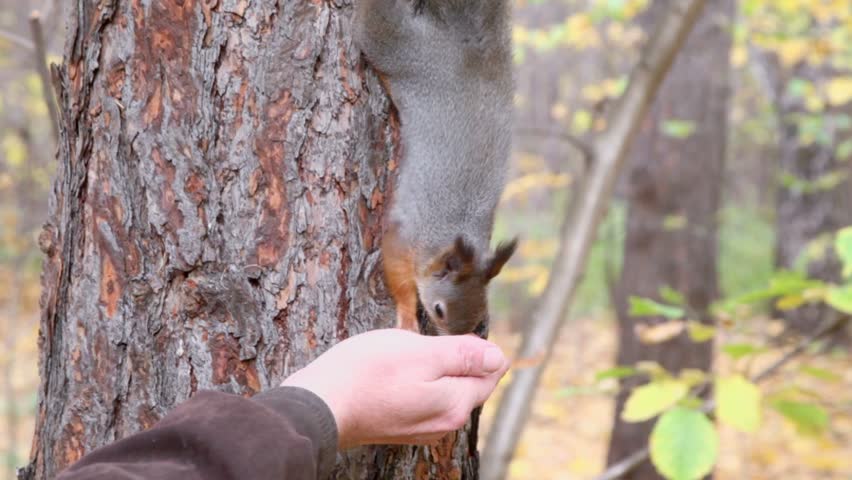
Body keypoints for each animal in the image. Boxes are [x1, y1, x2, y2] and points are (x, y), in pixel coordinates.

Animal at [353, 0, 517, 335]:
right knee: (373, 22)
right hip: (398, 49)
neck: (454, 232)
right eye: (440, 310)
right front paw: (407, 316)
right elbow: (398, 277)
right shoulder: (406, 237)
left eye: (479, 318)